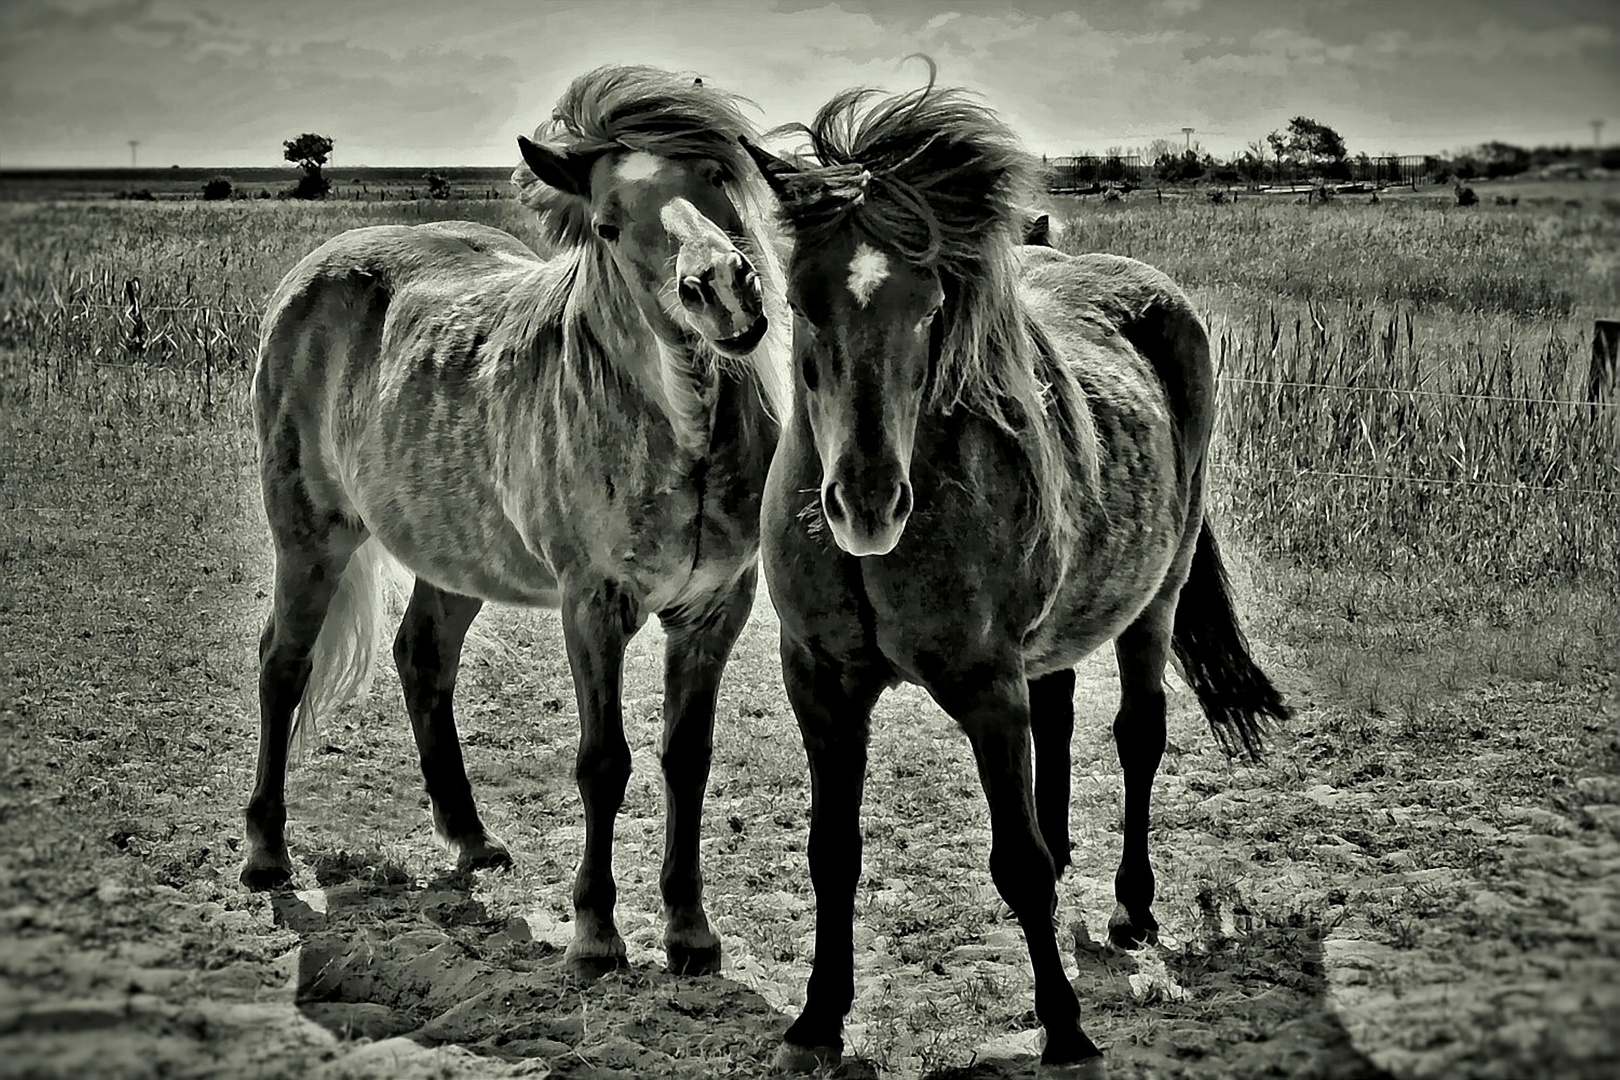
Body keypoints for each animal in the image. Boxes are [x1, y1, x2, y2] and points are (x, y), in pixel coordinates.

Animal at [241, 65, 790, 977]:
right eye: (607, 224)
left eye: (715, 176)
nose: (722, 290)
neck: (679, 432)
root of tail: (313, 271)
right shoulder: (593, 606)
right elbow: (604, 763)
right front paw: (596, 935)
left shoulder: (714, 610)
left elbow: (687, 761)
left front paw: (688, 930)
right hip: (311, 537)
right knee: (283, 665)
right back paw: (264, 853)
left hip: (455, 553)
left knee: (422, 659)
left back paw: (470, 839)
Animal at [741, 71, 1283, 1075]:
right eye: (800, 302)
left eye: (929, 307)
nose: (867, 503)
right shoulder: (822, 685)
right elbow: (833, 851)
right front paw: (817, 1020)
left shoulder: (989, 689)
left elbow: (1017, 864)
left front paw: (1065, 1028)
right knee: (1060, 713)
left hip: (1156, 598)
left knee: (1137, 735)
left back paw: (1132, 906)